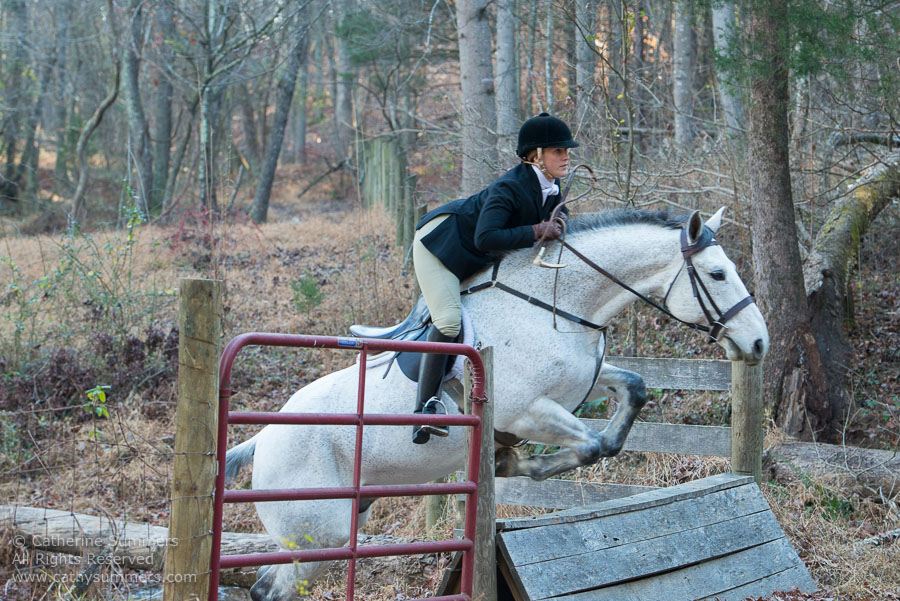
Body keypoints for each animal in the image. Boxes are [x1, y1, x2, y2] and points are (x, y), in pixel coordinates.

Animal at [223, 207, 768, 600]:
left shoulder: (580, 386)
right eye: (718, 274)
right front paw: (514, 463)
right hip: (321, 534)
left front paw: (517, 461)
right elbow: (589, 446)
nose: (759, 343)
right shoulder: (524, 411)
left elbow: (630, 394)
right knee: (272, 588)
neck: (556, 306)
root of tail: (262, 438)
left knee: (266, 588)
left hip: (338, 523)